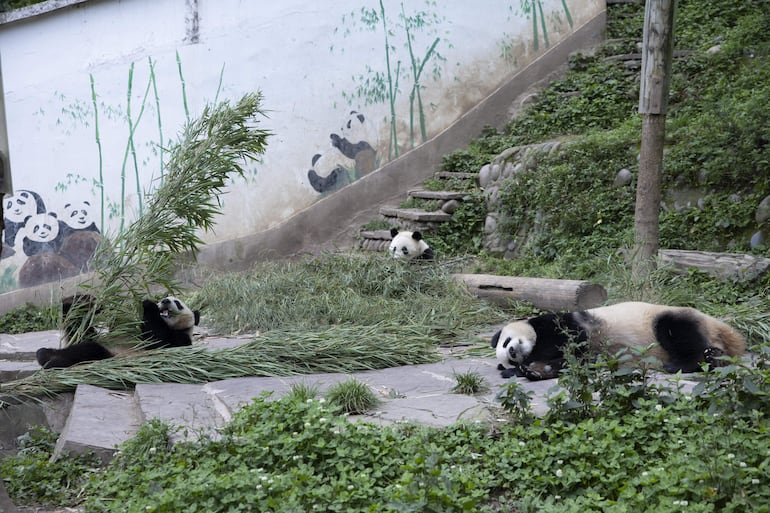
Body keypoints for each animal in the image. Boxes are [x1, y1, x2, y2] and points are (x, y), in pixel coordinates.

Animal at [36, 292, 198, 368]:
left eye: (178, 303)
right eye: (164, 298)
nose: (164, 301)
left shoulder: (180, 339)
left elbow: (156, 341)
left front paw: (148, 304)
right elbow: (83, 331)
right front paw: (84, 301)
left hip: (110, 355)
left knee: (89, 350)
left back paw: (52, 362)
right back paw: (44, 354)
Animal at [492, 300, 744, 380]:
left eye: (506, 341)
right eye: (508, 357)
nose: (513, 352)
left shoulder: (563, 323)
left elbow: (570, 340)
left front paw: (531, 365)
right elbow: (573, 362)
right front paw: (532, 370)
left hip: (670, 318)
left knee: (675, 331)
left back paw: (682, 364)